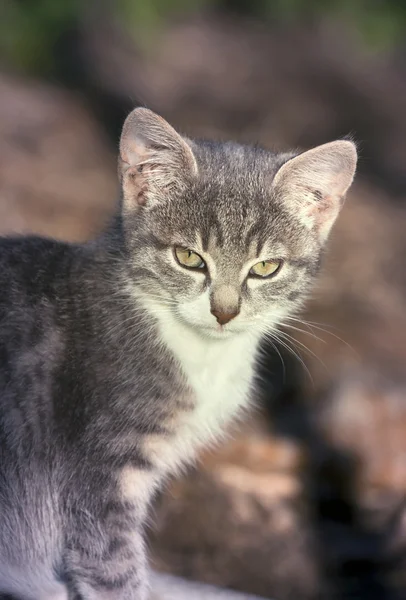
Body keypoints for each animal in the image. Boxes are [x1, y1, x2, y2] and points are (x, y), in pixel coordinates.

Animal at [0, 109, 356, 600]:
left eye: (266, 268)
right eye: (189, 257)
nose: (224, 311)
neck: (201, 354)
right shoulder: (96, 478)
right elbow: (114, 570)